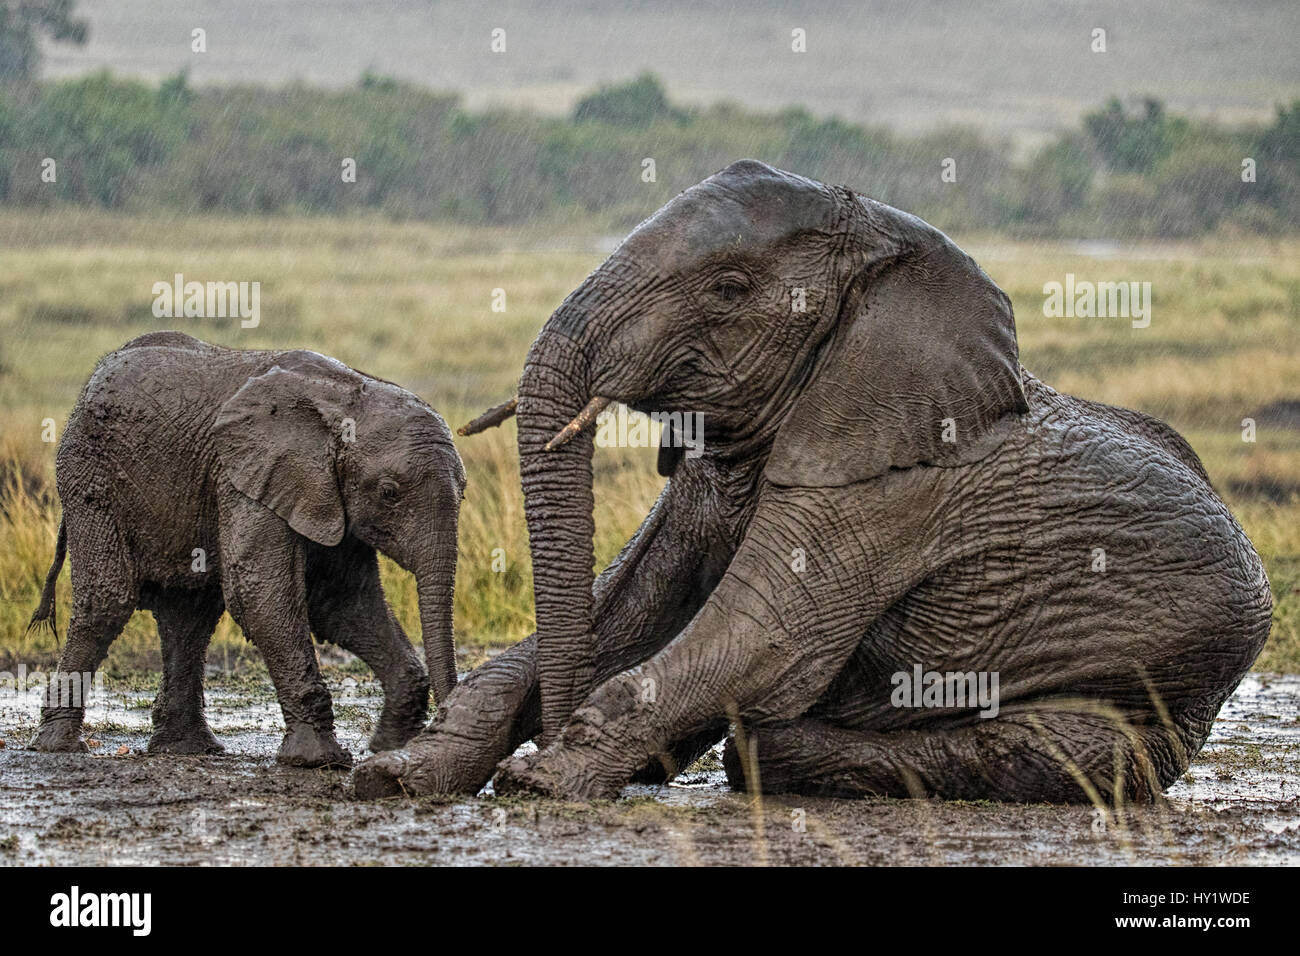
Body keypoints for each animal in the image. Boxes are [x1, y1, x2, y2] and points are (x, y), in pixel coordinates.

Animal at [27, 332, 465, 764]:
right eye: (389, 493)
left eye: (463, 491)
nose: (441, 729)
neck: (349, 396)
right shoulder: (245, 477)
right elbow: (262, 596)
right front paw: (316, 759)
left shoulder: (323, 491)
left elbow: (342, 601)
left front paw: (391, 746)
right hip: (91, 476)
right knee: (107, 601)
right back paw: (59, 746)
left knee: (189, 615)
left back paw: (187, 748)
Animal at [353, 160, 1268, 806]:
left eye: (727, 289)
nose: (548, 737)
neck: (888, 246)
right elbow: (630, 609)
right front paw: (398, 776)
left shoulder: (894, 487)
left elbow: (765, 636)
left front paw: (544, 783)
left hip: (1163, 695)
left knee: (1055, 752)